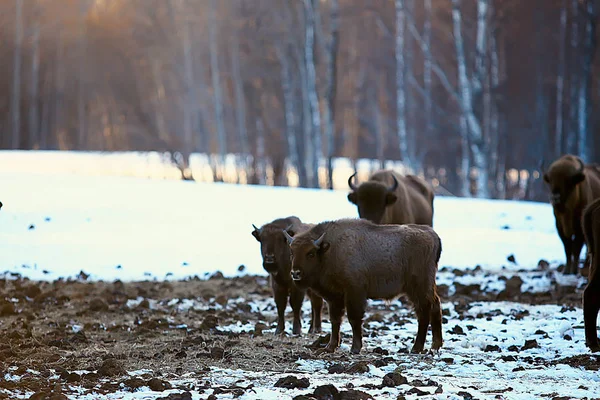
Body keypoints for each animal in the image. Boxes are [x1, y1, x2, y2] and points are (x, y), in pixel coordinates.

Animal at [284, 219, 442, 354]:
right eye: (291, 252)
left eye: (310, 253)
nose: (295, 273)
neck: (329, 251)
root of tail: (432, 235)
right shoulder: (334, 297)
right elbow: (335, 320)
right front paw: (330, 347)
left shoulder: (354, 292)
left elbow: (354, 319)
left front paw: (355, 348)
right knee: (434, 306)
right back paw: (435, 346)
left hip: (418, 288)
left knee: (424, 312)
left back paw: (416, 348)